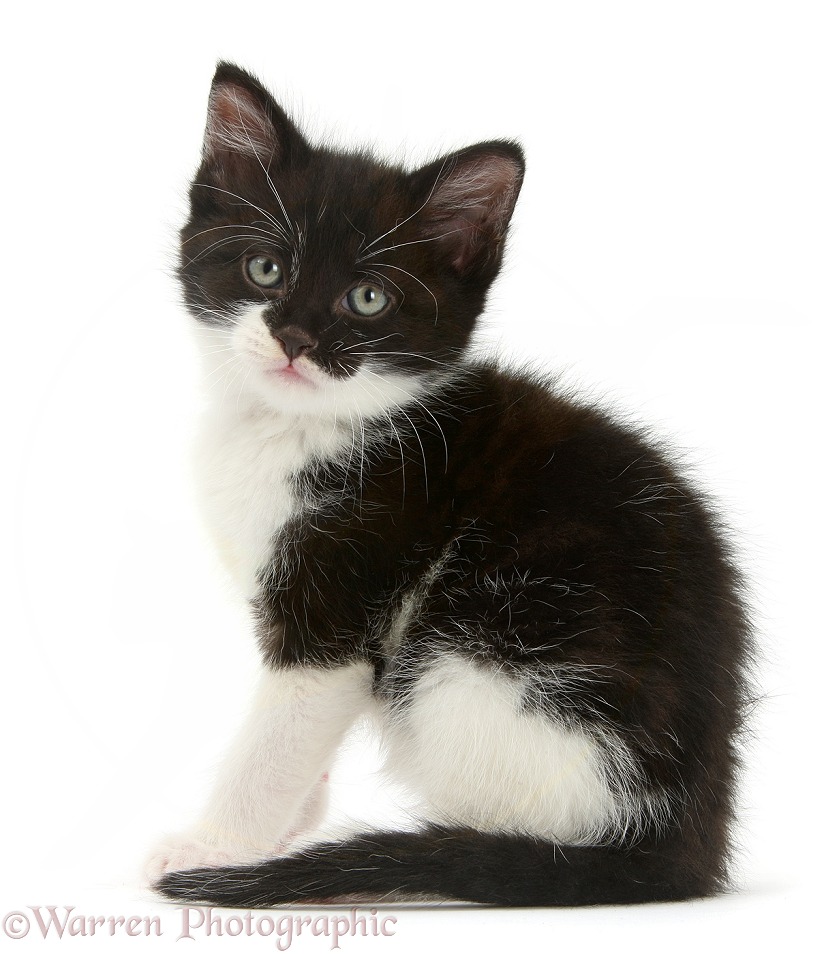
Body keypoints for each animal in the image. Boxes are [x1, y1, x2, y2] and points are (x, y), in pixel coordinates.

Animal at [148, 63, 752, 904]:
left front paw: (220, 844)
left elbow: (279, 732)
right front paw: (296, 816)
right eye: (265, 267)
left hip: (474, 665)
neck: (297, 428)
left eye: (367, 298)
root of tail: (687, 838)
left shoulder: (343, 594)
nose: (295, 337)